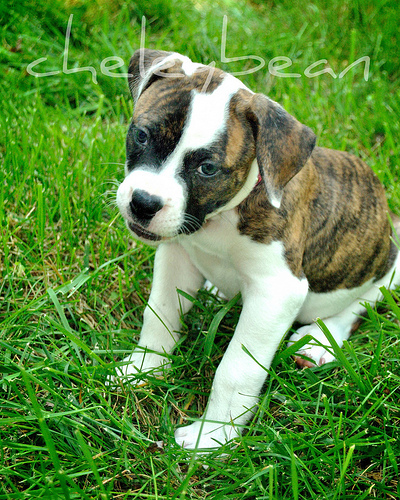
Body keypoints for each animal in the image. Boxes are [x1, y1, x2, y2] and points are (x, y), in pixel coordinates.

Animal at [114, 49, 400, 450]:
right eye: (141, 135)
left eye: (207, 168)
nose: (143, 203)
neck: (221, 217)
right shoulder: (177, 255)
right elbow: (160, 315)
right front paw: (144, 369)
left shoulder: (276, 292)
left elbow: (236, 369)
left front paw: (213, 437)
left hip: (384, 269)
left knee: (362, 302)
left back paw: (318, 341)